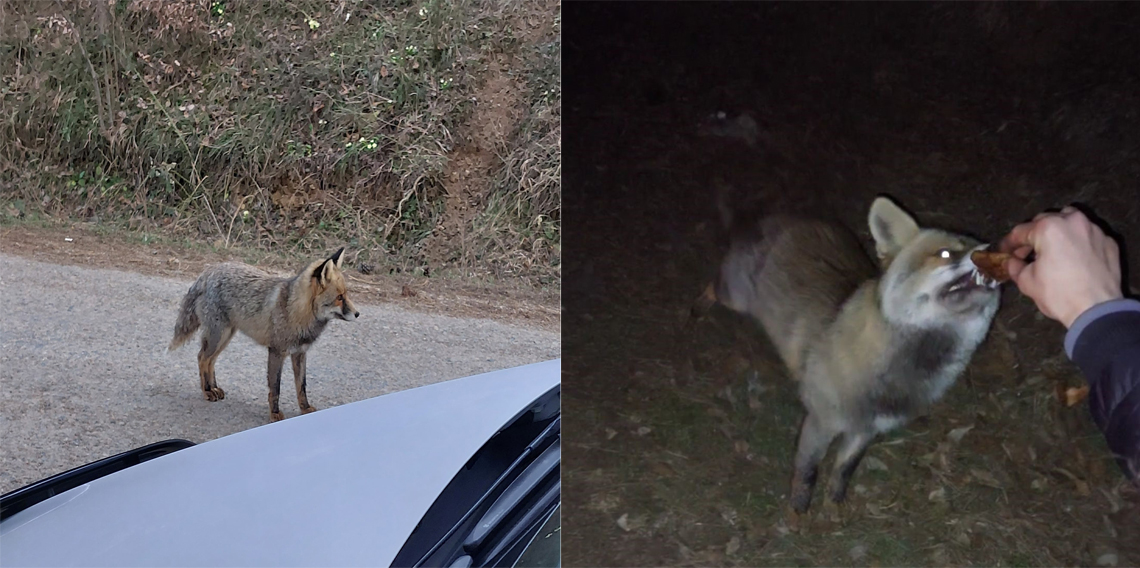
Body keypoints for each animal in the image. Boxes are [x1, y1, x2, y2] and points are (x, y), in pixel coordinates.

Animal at [166, 247, 355, 422]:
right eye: (339, 297)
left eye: (346, 294)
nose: (358, 313)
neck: (297, 312)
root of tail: (210, 270)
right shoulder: (277, 352)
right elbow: (275, 388)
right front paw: (275, 414)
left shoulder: (300, 353)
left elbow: (301, 386)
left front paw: (305, 409)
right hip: (217, 335)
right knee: (201, 357)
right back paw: (207, 391)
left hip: (225, 337)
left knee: (210, 360)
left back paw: (214, 388)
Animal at [702, 196, 998, 515]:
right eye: (944, 253)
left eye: (980, 246)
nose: (991, 251)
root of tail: (778, 217)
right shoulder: (821, 421)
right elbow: (807, 471)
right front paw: (798, 511)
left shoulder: (867, 430)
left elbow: (843, 470)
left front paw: (834, 506)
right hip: (734, 298)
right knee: (712, 287)